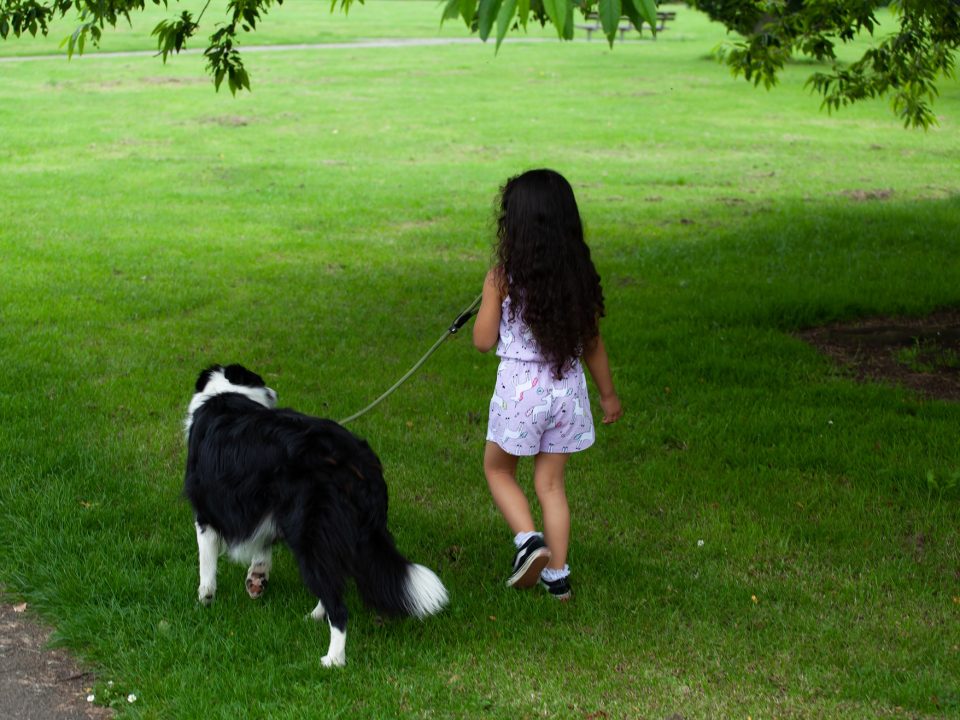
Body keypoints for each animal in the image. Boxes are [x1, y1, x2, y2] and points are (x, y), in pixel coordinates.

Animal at [183, 366, 446, 668]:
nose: (274, 392)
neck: (226, 392)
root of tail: (356, 461)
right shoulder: (266, 506)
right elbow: (263, 546)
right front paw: (257, 578)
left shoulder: (206, 511)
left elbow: (206, 562)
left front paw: (205, 599)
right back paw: (316, 616)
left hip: (311, 532)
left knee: (339, 607)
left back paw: (333, 659)